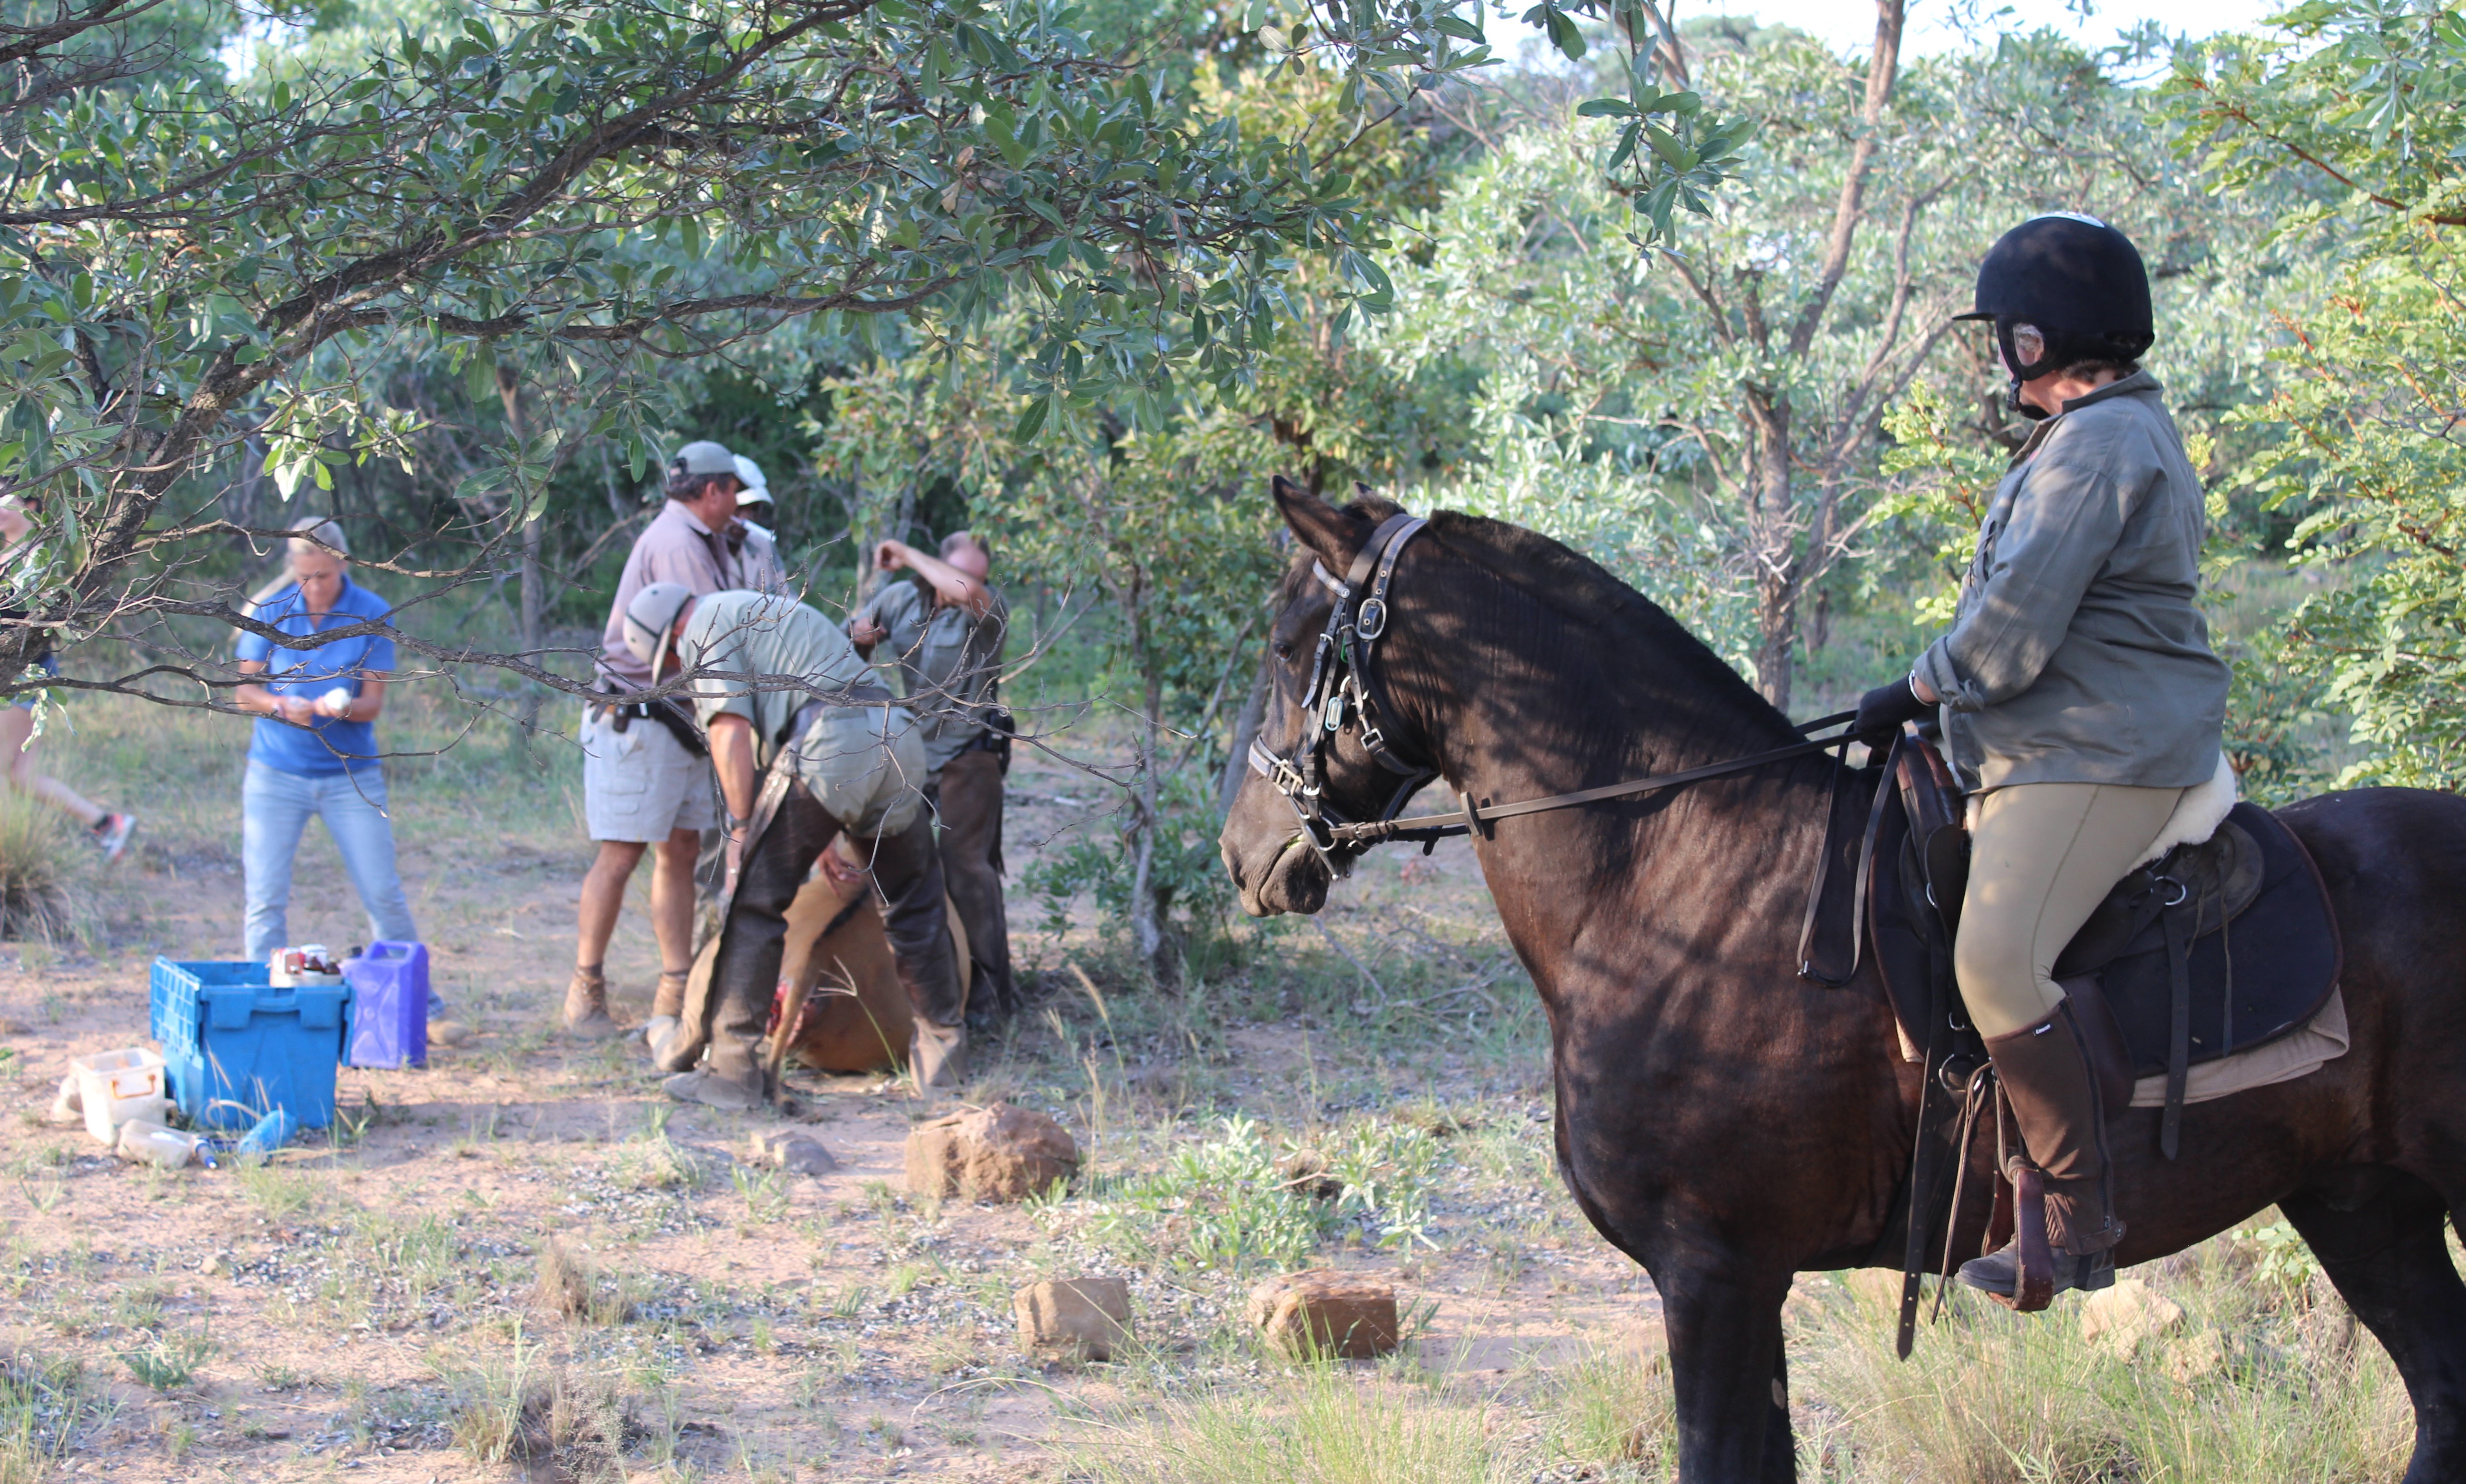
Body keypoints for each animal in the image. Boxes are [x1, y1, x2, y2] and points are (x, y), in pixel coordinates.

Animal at [1217, 478, 2466, 1484]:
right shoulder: (1739, 1279)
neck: (1673, 865)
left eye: (1287, 645)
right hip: (2362, 1200)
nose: (1243, 852)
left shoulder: (1711, 1272)